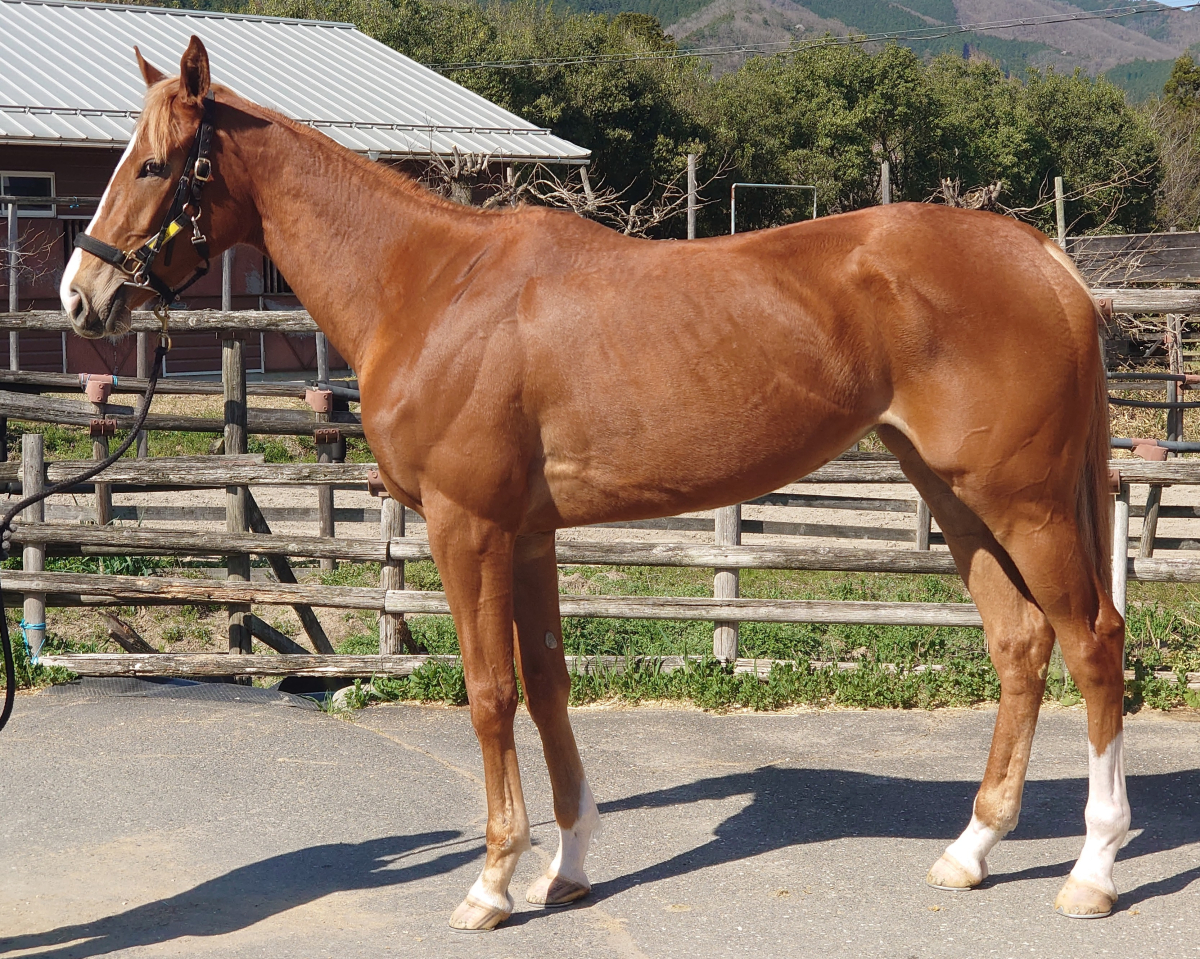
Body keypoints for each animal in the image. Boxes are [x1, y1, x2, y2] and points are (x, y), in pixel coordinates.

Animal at [62, 37, 1129, 931]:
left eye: (153, 166)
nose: (82, 294)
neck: (431, 286)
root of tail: (1043, 258)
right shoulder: (529, 533)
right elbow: (548, 687)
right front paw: (565, 870)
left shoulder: (468, 528)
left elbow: (490, 691)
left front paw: (491, 882)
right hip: (955, 496)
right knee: (1020, 643)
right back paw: (972, 848)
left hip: (1025, 503)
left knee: (1091, 639)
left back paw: (1092, 869)